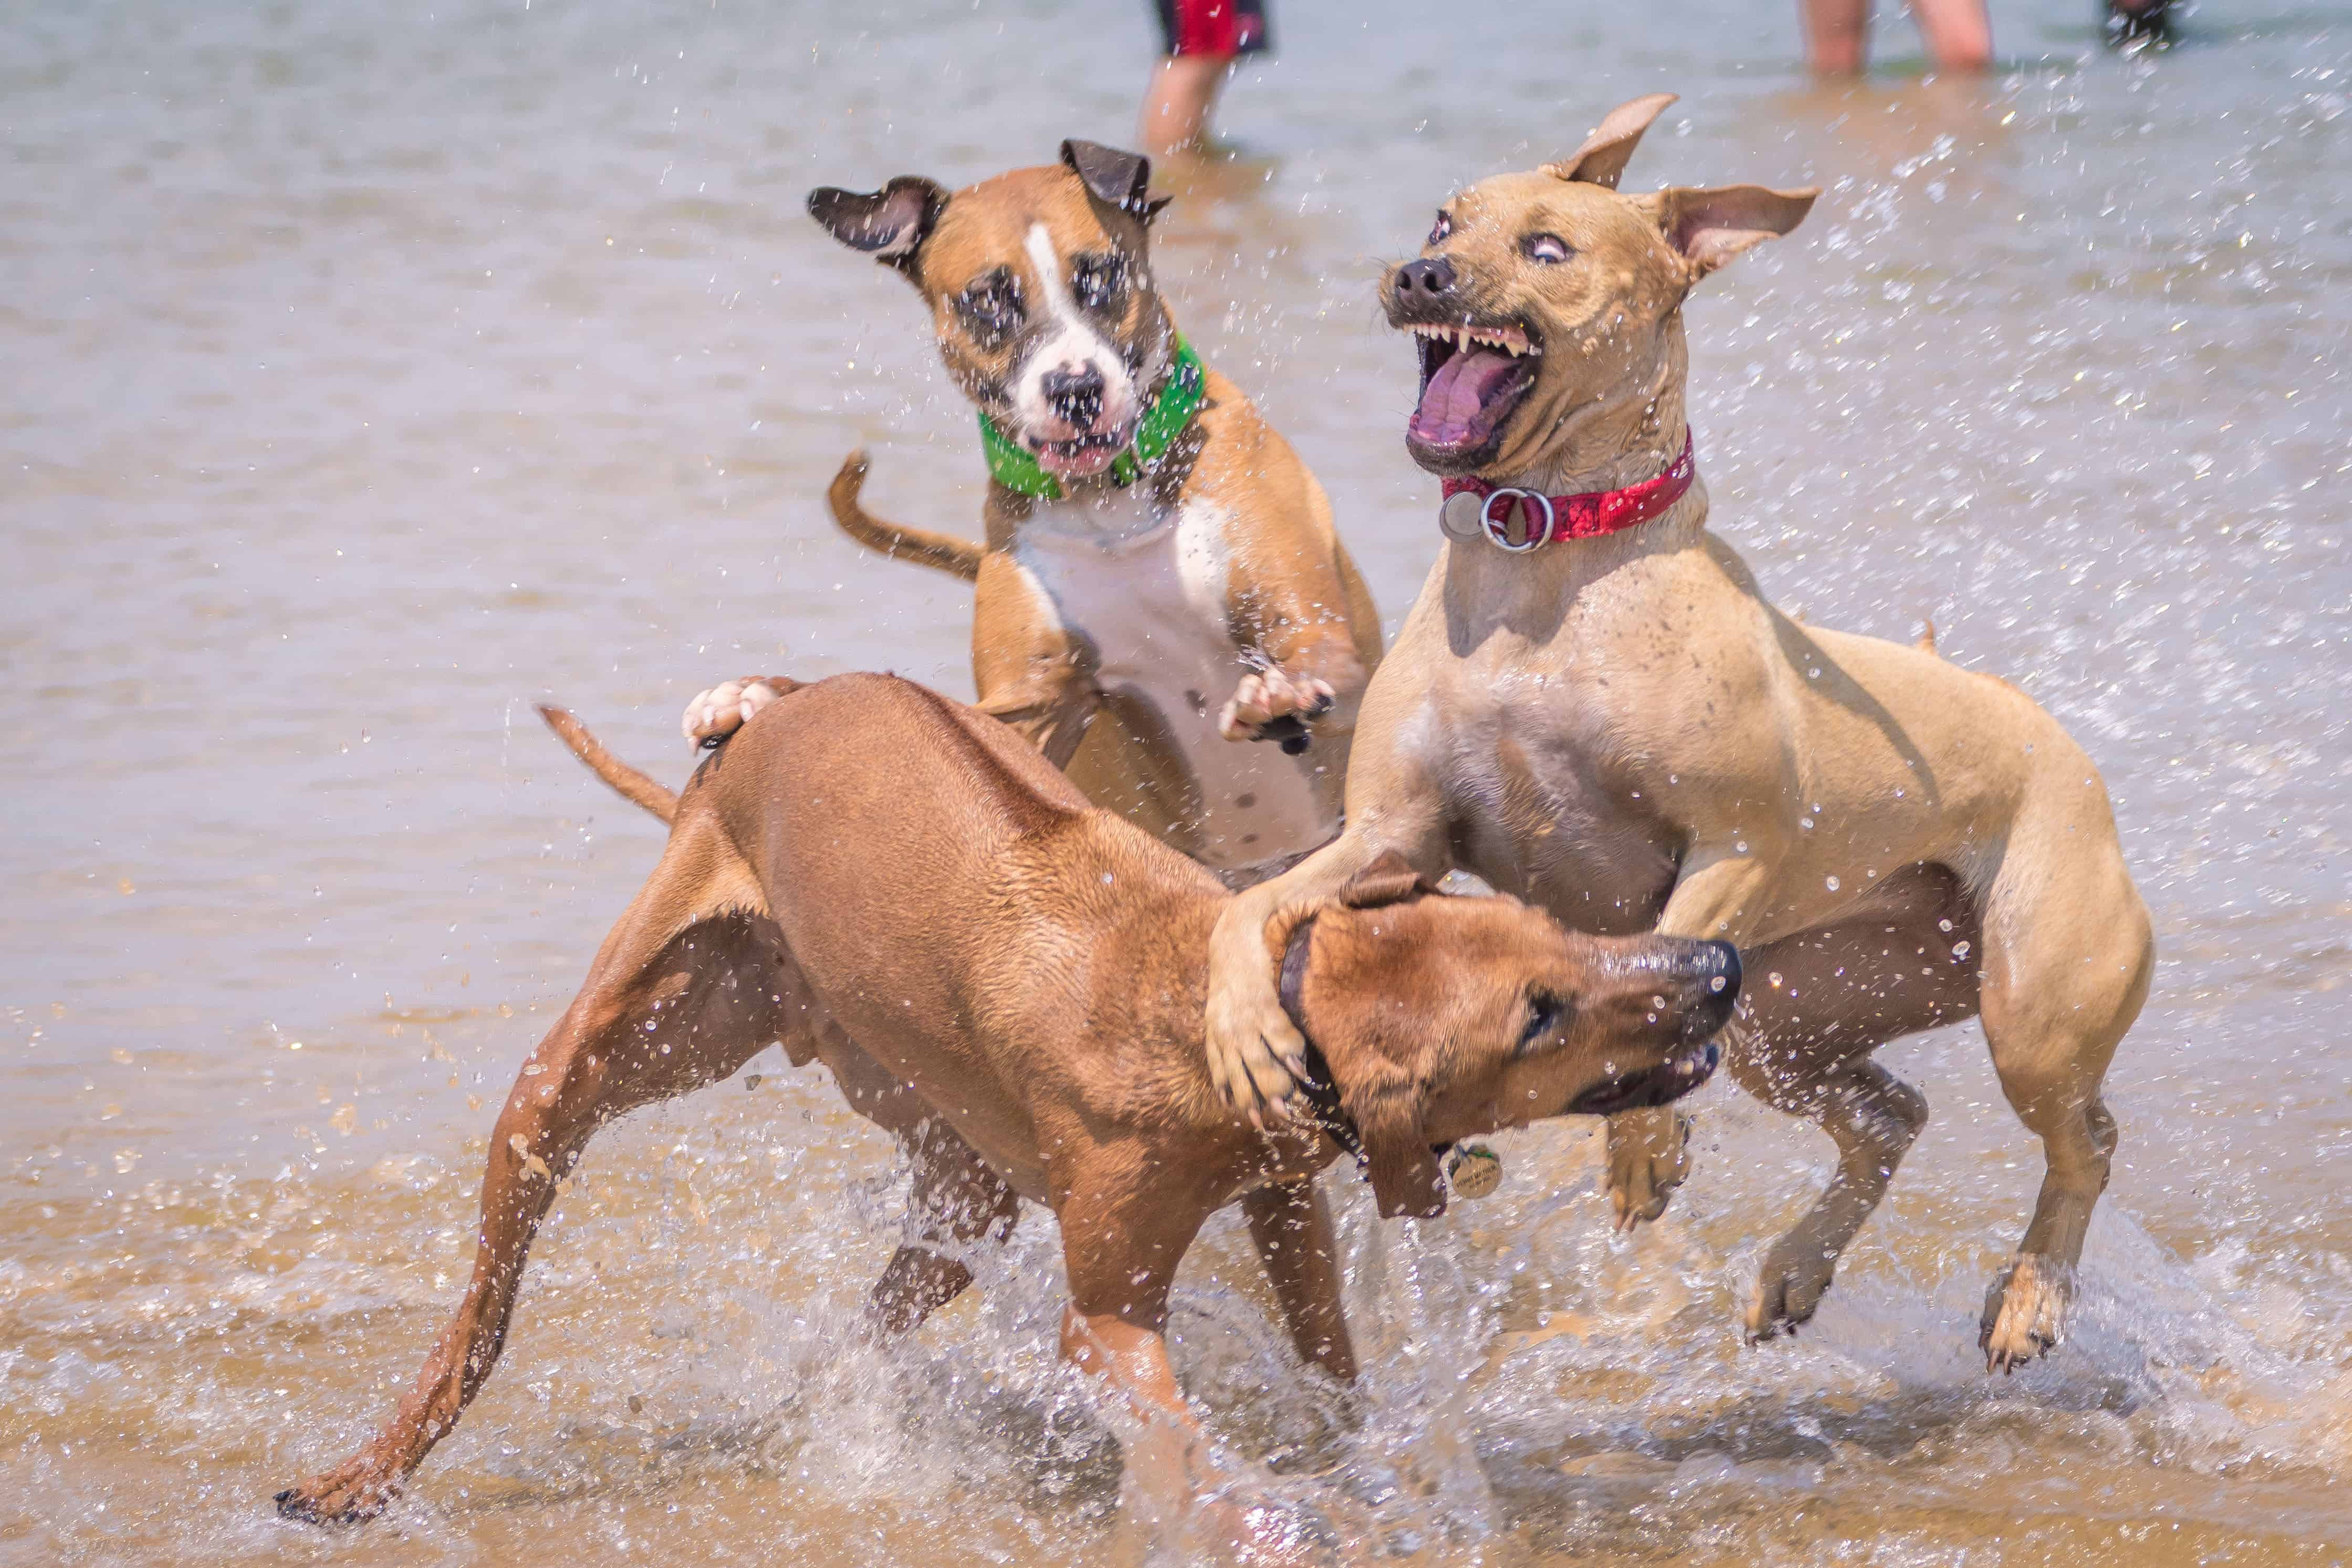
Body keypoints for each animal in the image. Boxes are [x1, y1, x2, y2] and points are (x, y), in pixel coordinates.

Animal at [280, 667, 1750, 1542]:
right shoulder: (1104, 1310)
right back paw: (366, 1467)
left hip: (950, 1171)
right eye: (1536, 1015)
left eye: (1550, 933)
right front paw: (1259, 1518)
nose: (1714, 966)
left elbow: (1326, 1349)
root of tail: (778, 704)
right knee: (482, 1310)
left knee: (883, 1307)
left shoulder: (1282, 1189)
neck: (1228, 995)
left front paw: (1356, 1453)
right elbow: (1169, 1422)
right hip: (585, 1066)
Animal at [682, 144, 1373, 884]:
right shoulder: (1038, 701)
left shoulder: (1317, 629)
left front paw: (1283, 694)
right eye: (988, 298)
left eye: (1100, 275)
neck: (1113, 503)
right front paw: (756, 694)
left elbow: (1320, 661)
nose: (1075, 388)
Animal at [1204, 98, 2154, 1373]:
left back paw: (2031, 1295)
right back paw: (1796, 1267)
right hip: (1790, 1012)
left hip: (2030, 1007)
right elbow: (1254, 907)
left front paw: (1643, 1148)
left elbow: (1661, 956)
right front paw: (1243, 1027)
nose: (1418, 274)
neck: (1543, 557)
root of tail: (2053, 735)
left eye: (1546, 248)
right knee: (1887, 1112)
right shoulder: (1391, 836)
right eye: (1443, 221)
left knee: (2082, 1139)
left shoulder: (1733, 847)